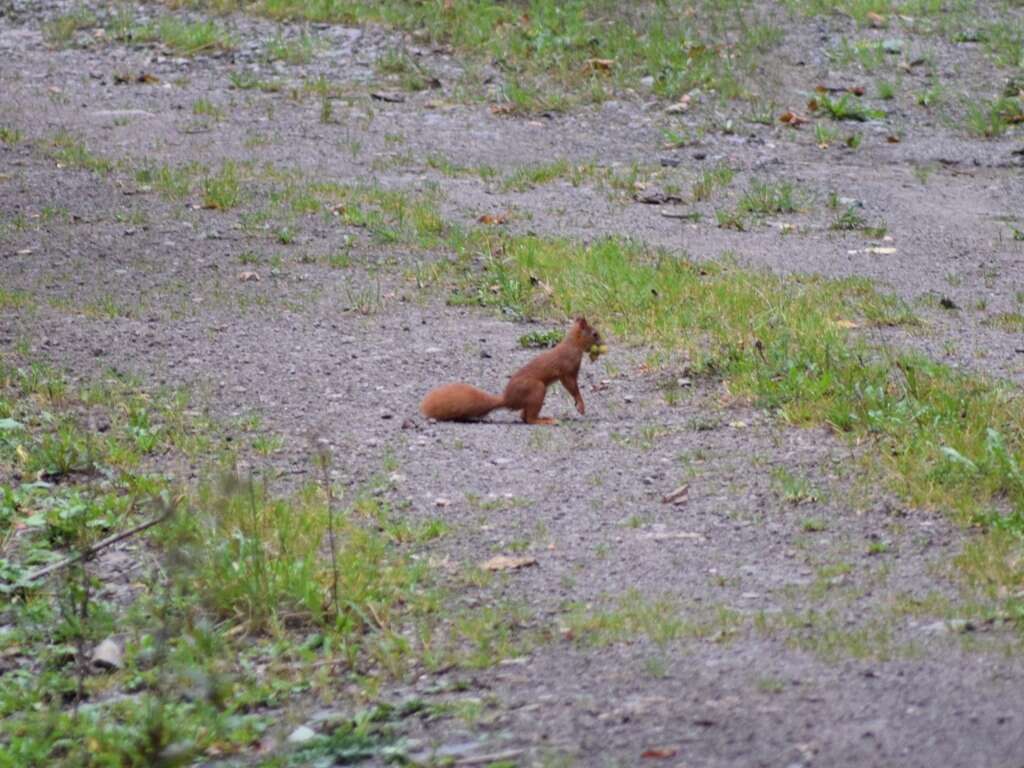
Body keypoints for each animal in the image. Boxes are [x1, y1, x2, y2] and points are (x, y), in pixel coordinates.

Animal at [419, 319, 602, 428]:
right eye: (595, 334)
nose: (602, 342)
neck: (573, 344)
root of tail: (508, 399)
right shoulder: (567, 368)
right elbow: (571, 386)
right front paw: (580, 404)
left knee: (523, 416)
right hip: (537, 389)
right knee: (529, 419)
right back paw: (546, 421)